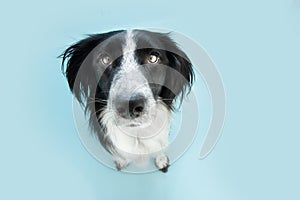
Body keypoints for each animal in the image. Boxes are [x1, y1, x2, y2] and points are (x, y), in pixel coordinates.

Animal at [60, 29, 195, 172]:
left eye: (153, 58)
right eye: (105, 59)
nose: (129, 105)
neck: (136, 134)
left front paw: (162, 160)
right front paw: (122, 161)